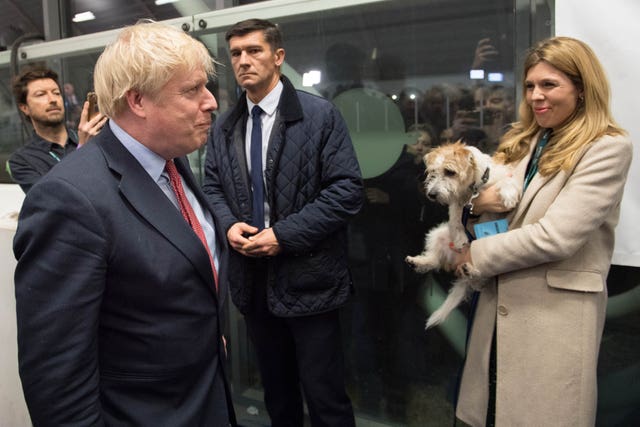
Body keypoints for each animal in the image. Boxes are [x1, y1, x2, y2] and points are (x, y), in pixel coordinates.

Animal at [408, 142, 524, 330]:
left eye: (449, 171)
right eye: (433, 172)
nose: (431, 194)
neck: (472, 188)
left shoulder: (501, 176)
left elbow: (507, 181)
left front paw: (508, 195)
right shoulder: (456, 203)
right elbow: (455, 219)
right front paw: (460, 238)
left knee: (480, 280)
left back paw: (471, 270)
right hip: (438, 234)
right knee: (435, 260)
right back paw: (419, 262)